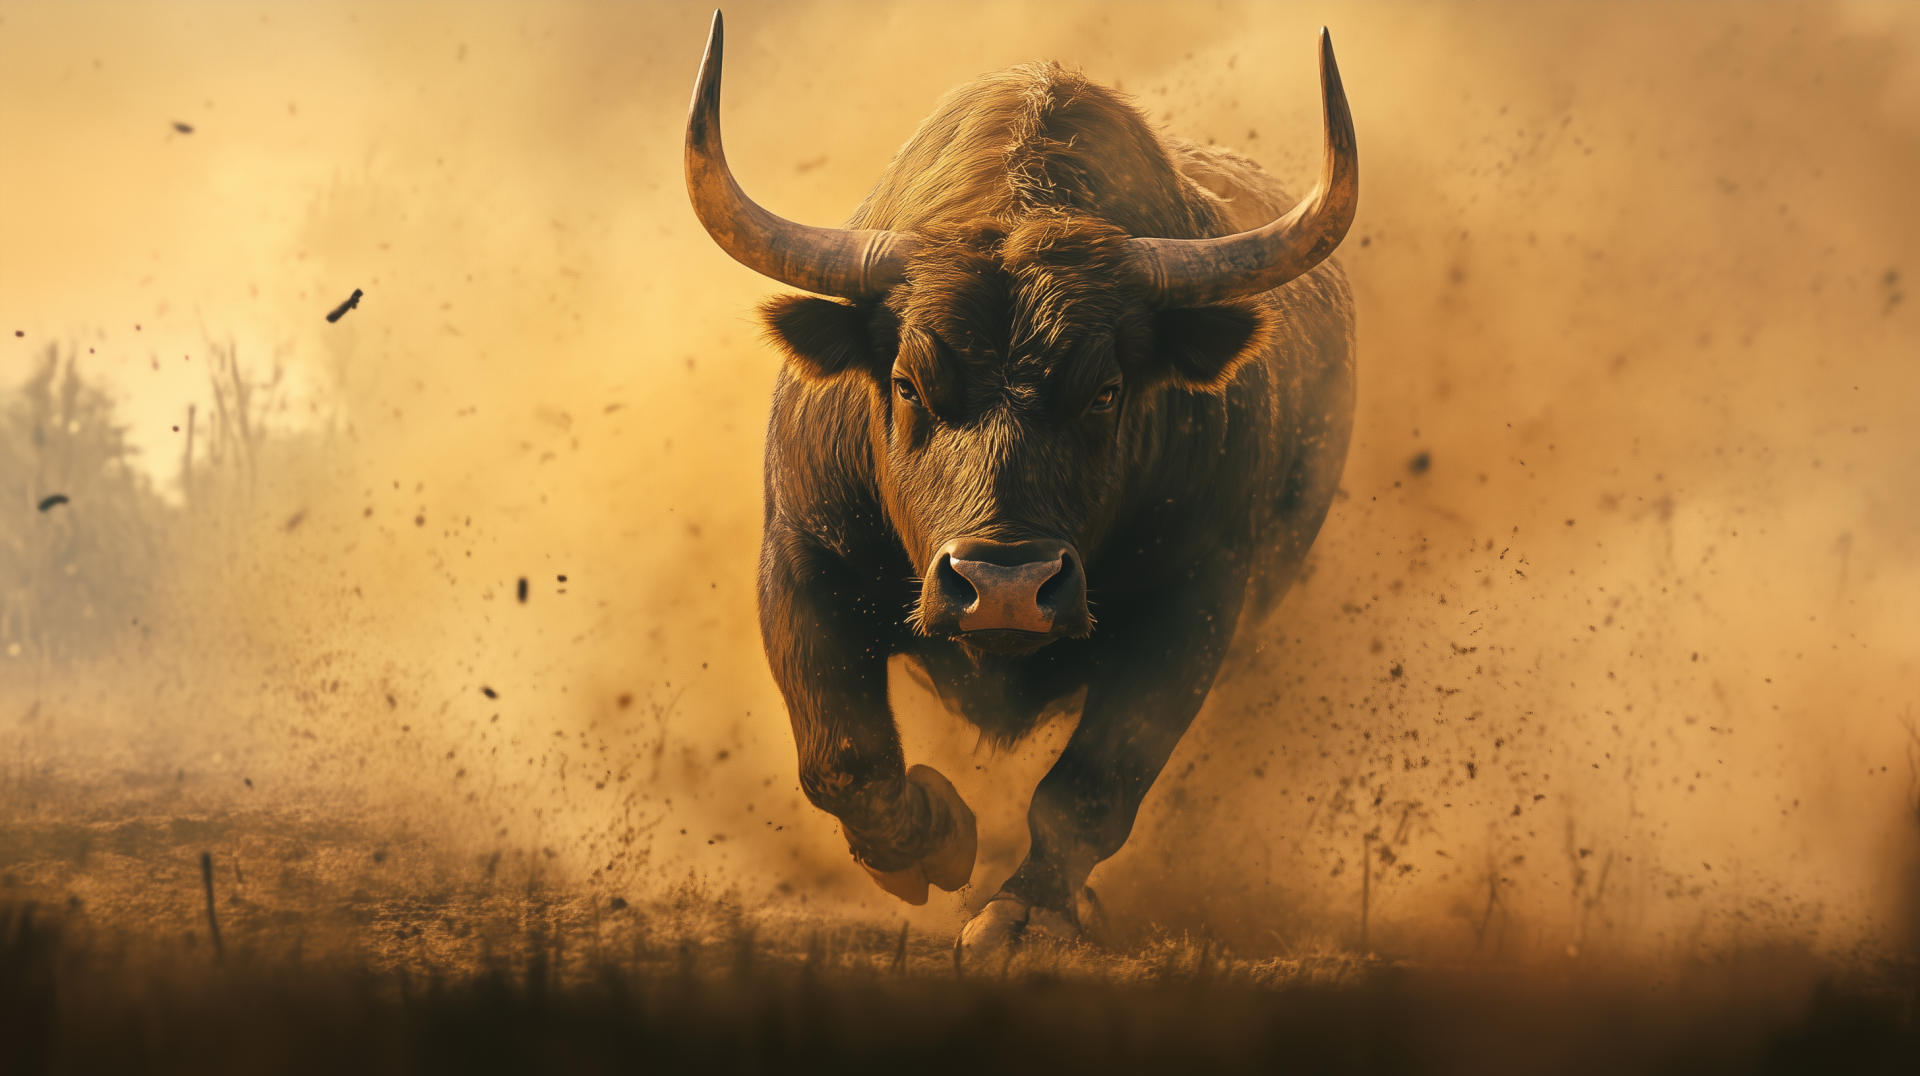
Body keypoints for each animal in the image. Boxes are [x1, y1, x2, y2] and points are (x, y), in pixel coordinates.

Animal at [683, 11, 1357, 958]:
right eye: (908, 384)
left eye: (1105, 389)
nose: (1004, 587)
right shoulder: (802, 561)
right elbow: (843, 758)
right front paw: (935, 839)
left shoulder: (1197, 603)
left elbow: (1094, 784)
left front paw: (1030, 911)